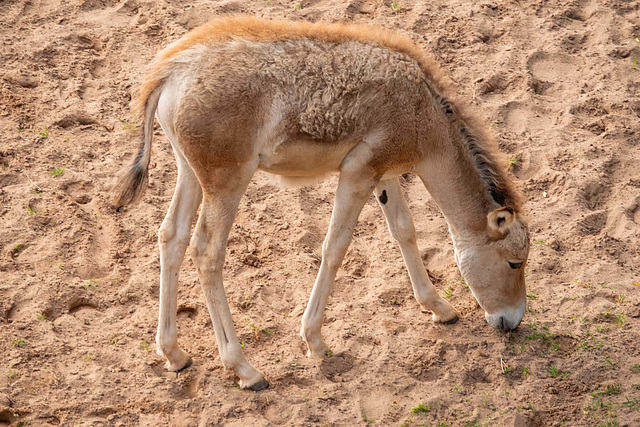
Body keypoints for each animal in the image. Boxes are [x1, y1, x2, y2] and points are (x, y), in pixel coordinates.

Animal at [114, 16, 528, 392]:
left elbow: (404, 231)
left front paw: (438, 307)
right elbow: (335, 247)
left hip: (189, 173)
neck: (423, 108)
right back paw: (245, 369)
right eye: (514, 262)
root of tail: (172, 70)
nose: (513, 321)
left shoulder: (384, 175)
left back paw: (174, 353)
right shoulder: (357, 174)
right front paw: (314, 340)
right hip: (227, 183)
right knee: (206, 253)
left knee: (171, 236)